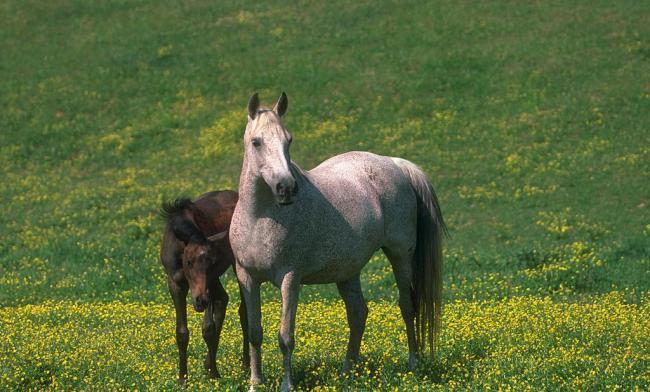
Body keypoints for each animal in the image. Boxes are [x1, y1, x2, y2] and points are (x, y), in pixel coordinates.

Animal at [229, 93, 446, 390]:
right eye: (256, 142)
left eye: (289, 140)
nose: (287, 188)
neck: (260, 217)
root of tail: (396, 164)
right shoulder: (247, 277)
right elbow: (254, 332)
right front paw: (255, 383)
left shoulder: (290, 279)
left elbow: (286, 337)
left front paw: (287, 385)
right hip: (348, 272)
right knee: (358, 313)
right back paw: (347, 372)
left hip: (400, 255)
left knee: (407, 305)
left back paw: (412, 364)